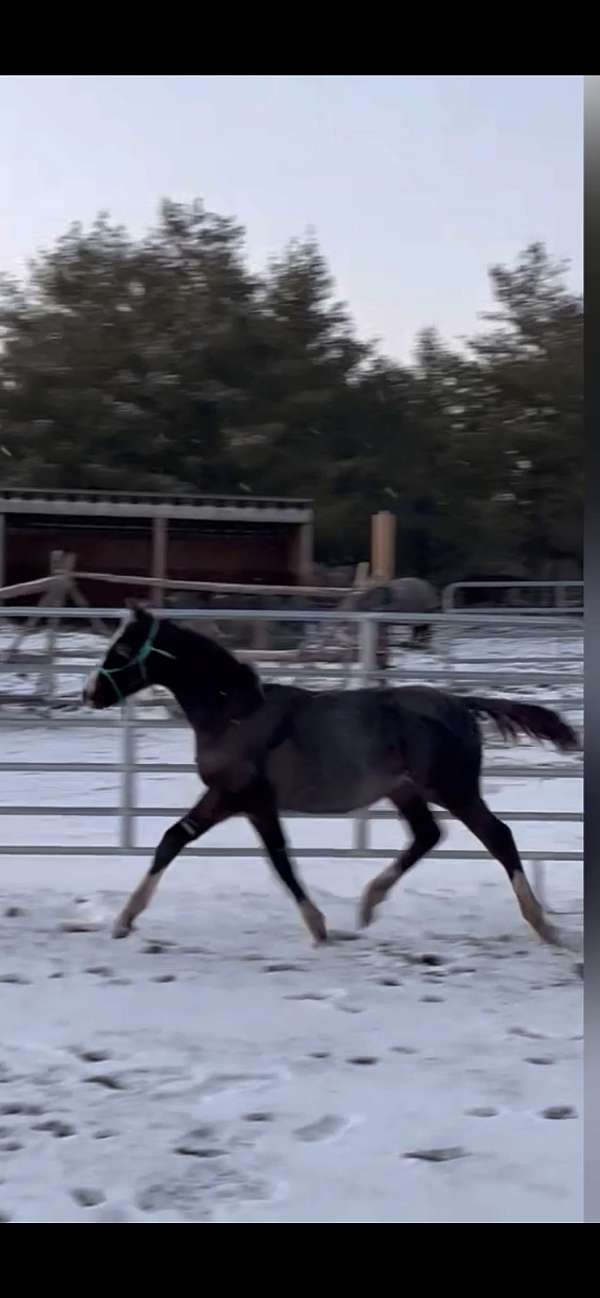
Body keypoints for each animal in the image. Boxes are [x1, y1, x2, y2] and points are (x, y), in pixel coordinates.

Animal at [82, 602, 579, 950]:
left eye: (122, 649)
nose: (89, 694)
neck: (235, 714)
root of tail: (461, 703)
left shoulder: (244, 797)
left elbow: (280, 861)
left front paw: (319, 927)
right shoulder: (234, 799)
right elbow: (174, 839)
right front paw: (124, 921)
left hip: (453, 789)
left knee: (498, 836)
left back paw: (543, 925)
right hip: (405, 791)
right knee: (427, 835)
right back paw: (369, 904)